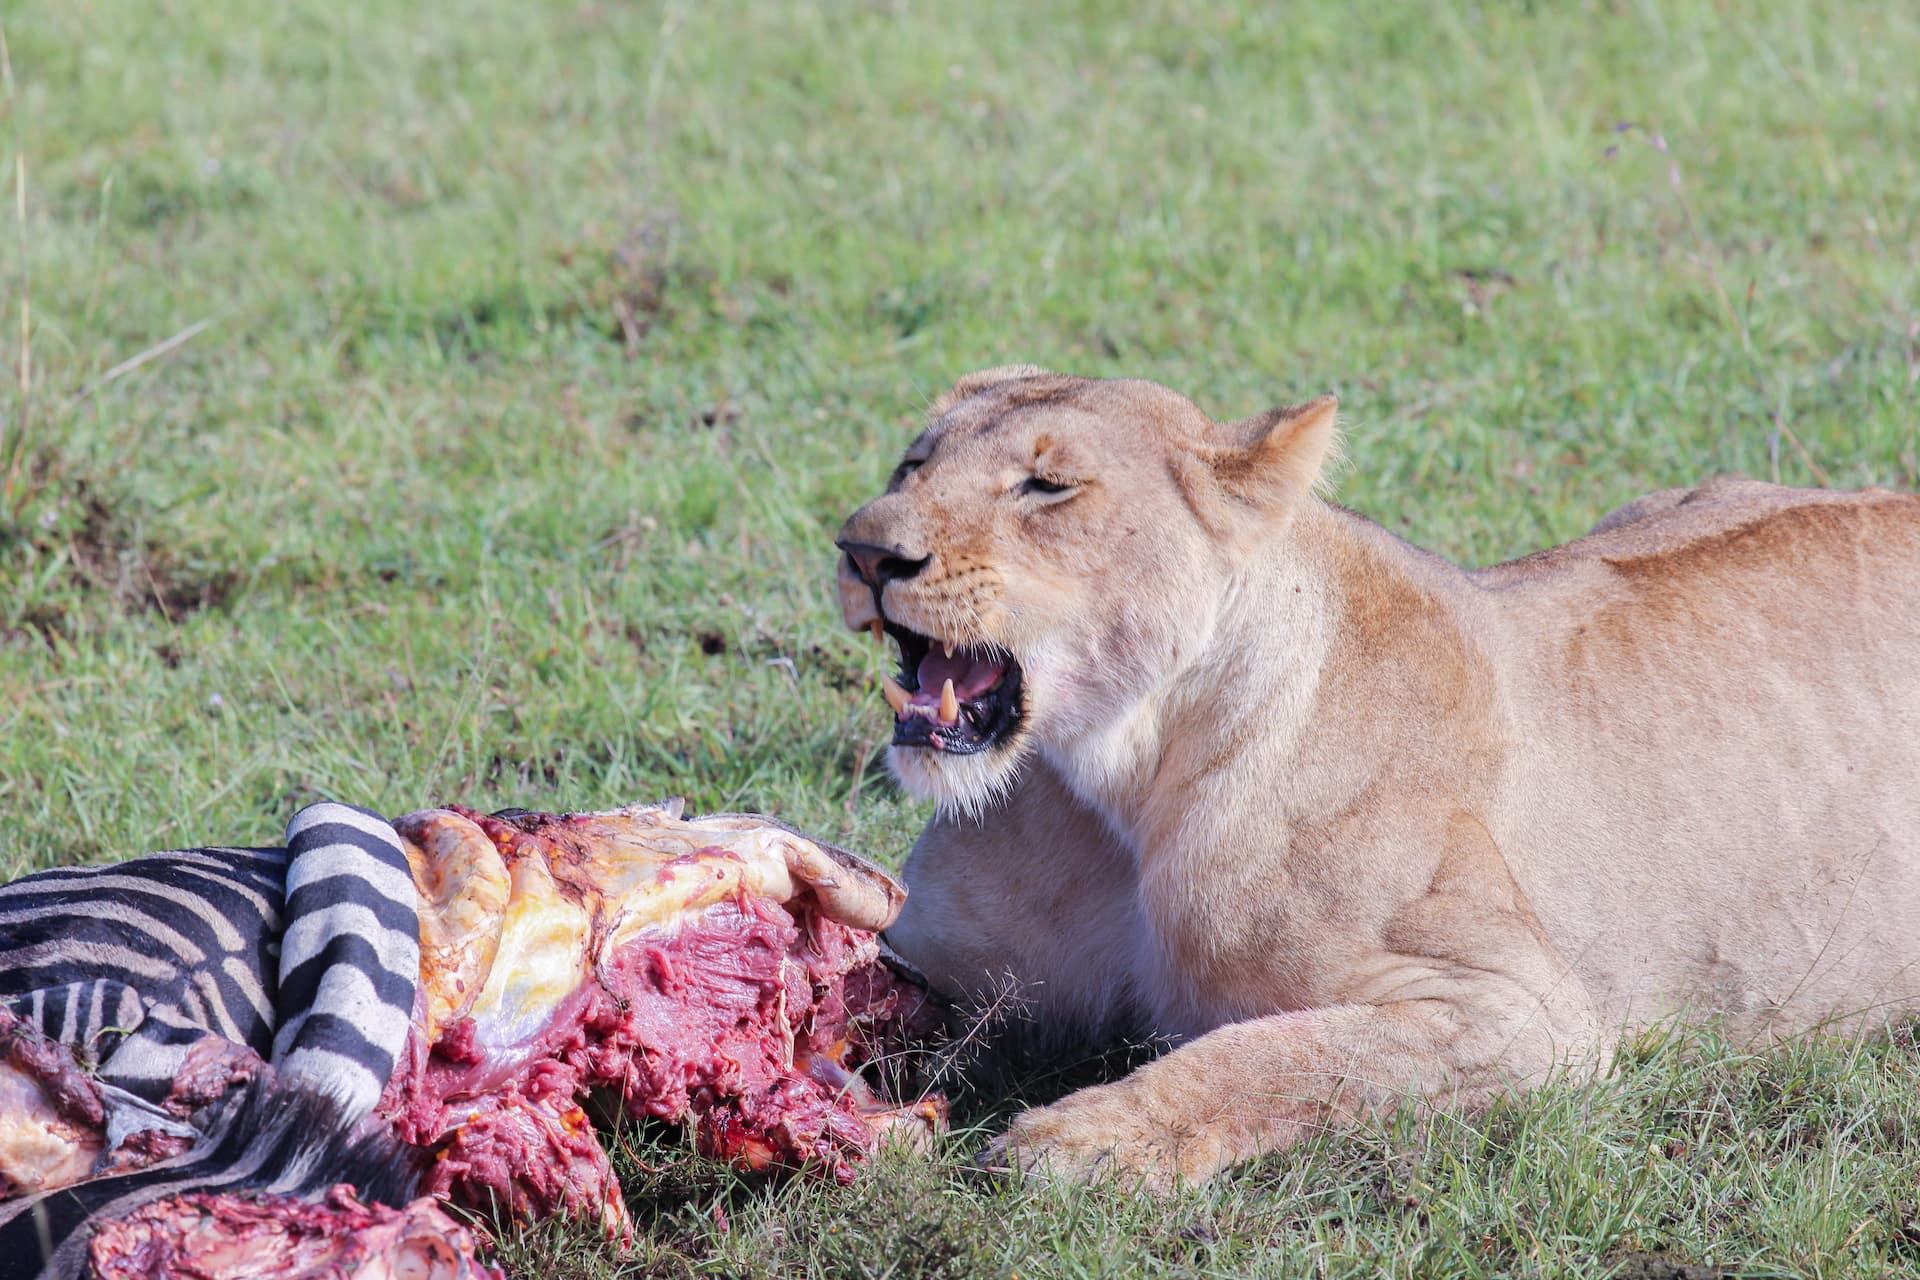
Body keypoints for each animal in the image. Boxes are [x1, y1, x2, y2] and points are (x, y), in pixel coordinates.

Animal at [833, 365, 1920, 1190]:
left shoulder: (1527, 1013)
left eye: (1047, 487)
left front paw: (1084, 1137)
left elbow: (1277, 1051)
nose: (864, 548)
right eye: (913, 463)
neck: (1116, 785)